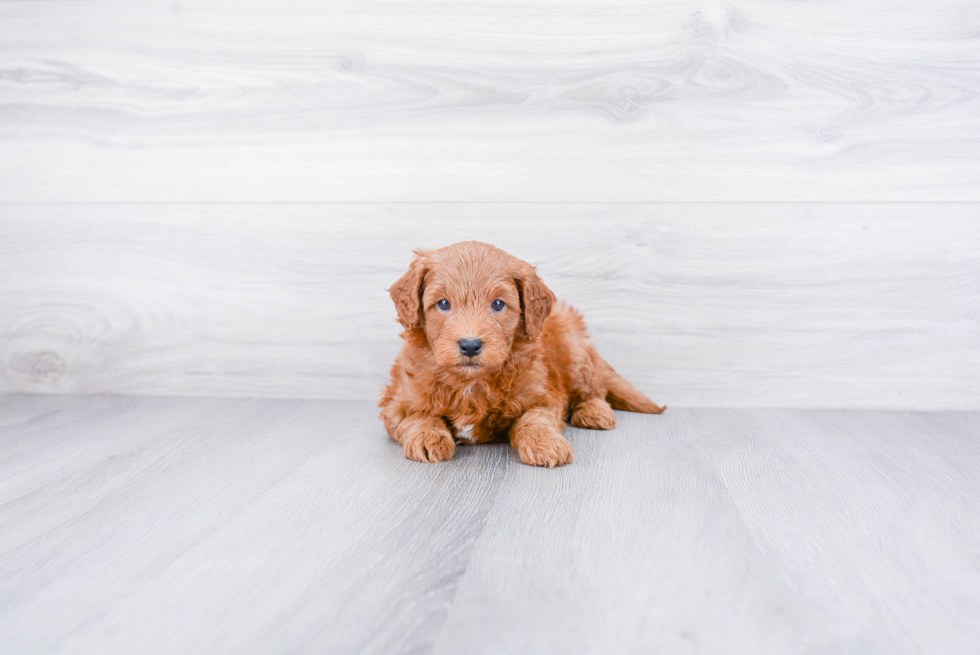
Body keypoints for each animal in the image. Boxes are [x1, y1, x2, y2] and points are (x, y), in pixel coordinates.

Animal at [378, 241, 664, 466]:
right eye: (443, 304)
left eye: (497, 304)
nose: (470, 345)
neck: (472, 384)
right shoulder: (396, 402)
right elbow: (417, 416)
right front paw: (428, 437)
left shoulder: (544, 396)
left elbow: (534, 419)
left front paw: (546, 444)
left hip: (575, 351)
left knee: (593, 389)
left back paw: (595, 412)